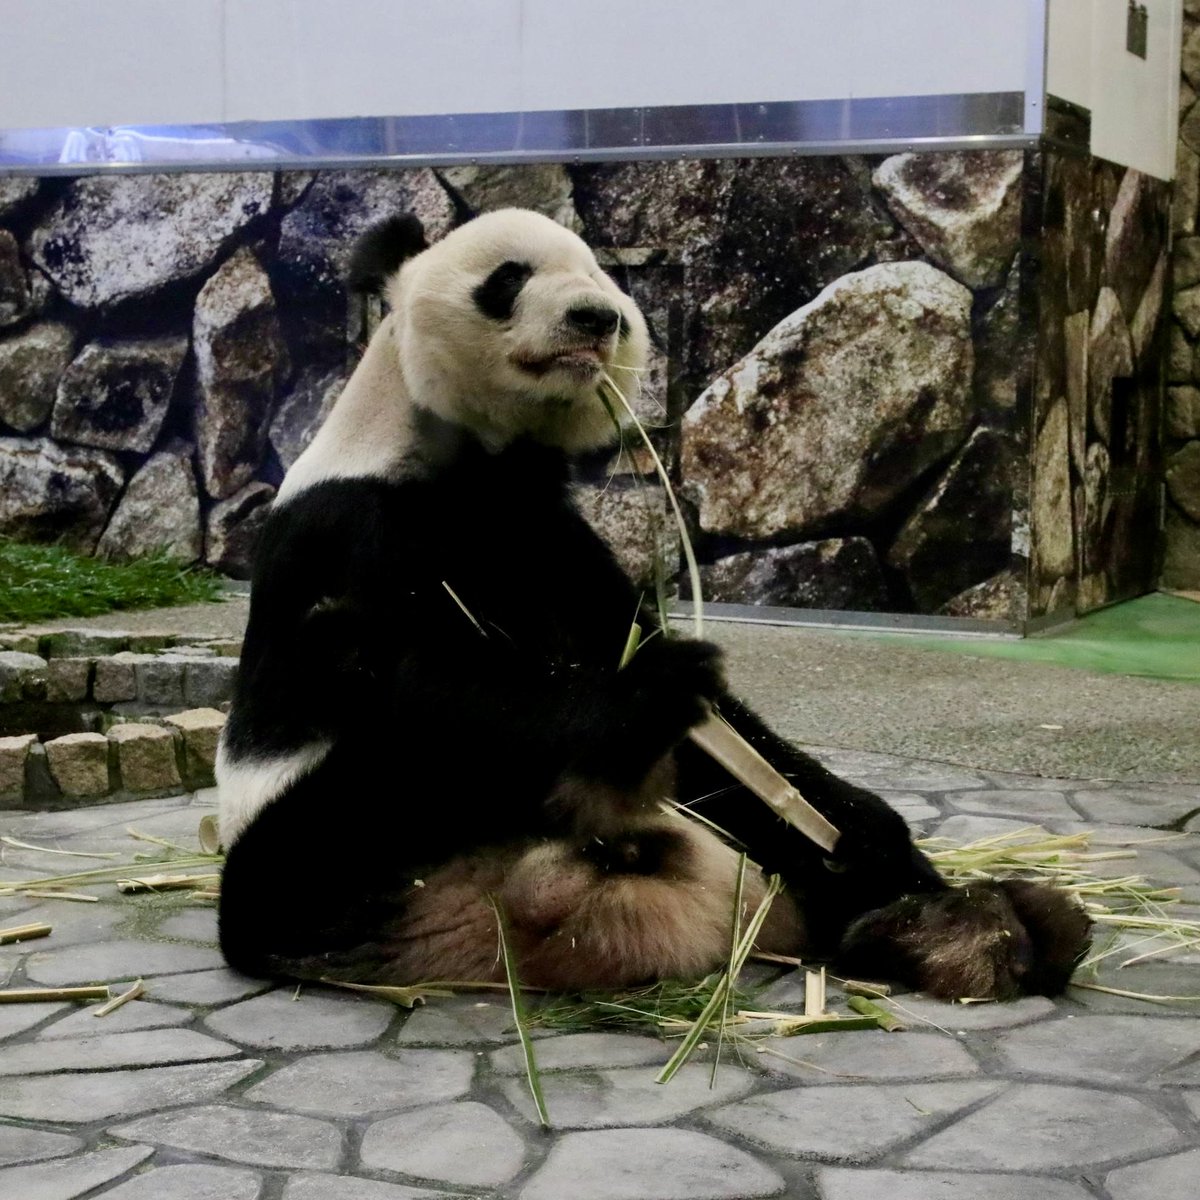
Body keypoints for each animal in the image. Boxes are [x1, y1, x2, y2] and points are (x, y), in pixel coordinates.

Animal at [216, 207, 1090, 1000]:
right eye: (510, 277)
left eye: (604, 278)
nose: (596, 318)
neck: (476, 459)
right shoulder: (352, 524)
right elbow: (418, 683)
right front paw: (651, 690)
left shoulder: (555, 540)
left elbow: (723, 733)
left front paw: (863, 826)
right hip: (338, 837)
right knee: (368, 807)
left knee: (781, 852)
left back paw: (982, 929)